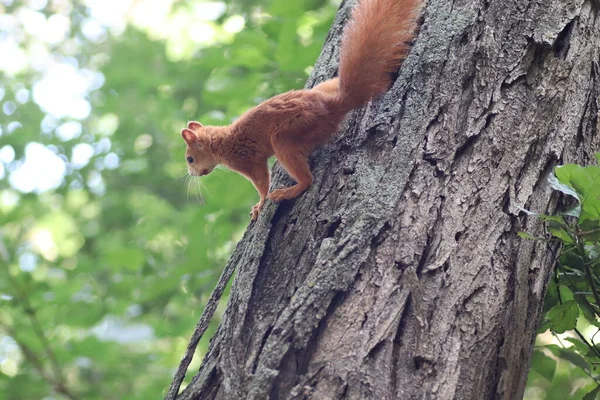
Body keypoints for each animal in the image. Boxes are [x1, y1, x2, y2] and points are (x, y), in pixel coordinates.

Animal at [180, 0, 420, 220]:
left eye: (190, 159)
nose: (192, 174)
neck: (222, 141)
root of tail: (333, 105)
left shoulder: (247, 159)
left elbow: (262, 184)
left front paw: (259, 205)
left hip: (287, 135)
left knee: (307, 180)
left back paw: (288, 191)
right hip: (322, 91)